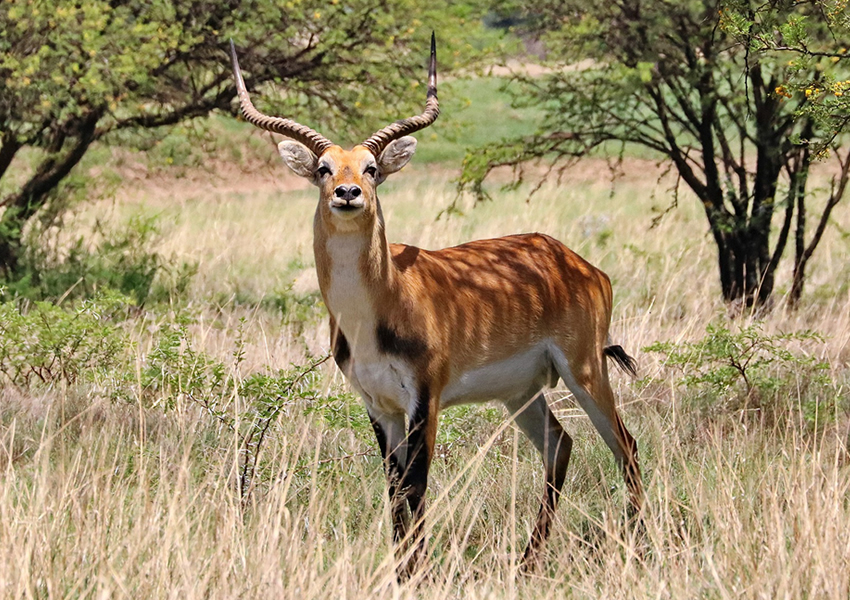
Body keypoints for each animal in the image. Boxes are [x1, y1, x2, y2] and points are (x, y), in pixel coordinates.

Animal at [229, 35, 640, 576]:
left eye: (372, 168)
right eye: (323, 168)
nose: (348, 193)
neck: (381, 305)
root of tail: (577, 262)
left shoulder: (425, 398)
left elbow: (416, 486)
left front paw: (417, 573)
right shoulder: (378, 405)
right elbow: (393, 489)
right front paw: (400, 570)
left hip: (585, 368)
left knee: (624, 445)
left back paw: (639, 545)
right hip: (522, 392)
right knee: (560, 444)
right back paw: (528, 562)